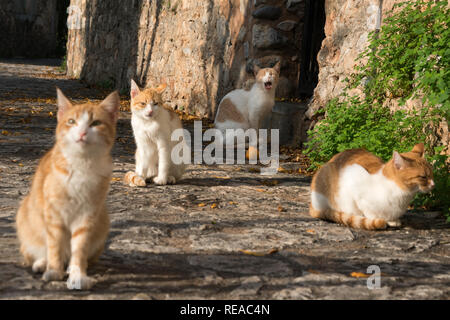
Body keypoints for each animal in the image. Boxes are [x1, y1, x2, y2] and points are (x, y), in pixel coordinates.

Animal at [16, 88, 120, 290]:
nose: (82, 132)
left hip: (103, 219)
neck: (82, 164)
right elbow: (54, 244)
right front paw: (54, 271)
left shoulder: (87, 214)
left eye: (96, 123)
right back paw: (42, 263)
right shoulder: (54, 214)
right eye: (72, 121)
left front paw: (78, 274)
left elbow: (79, 248)